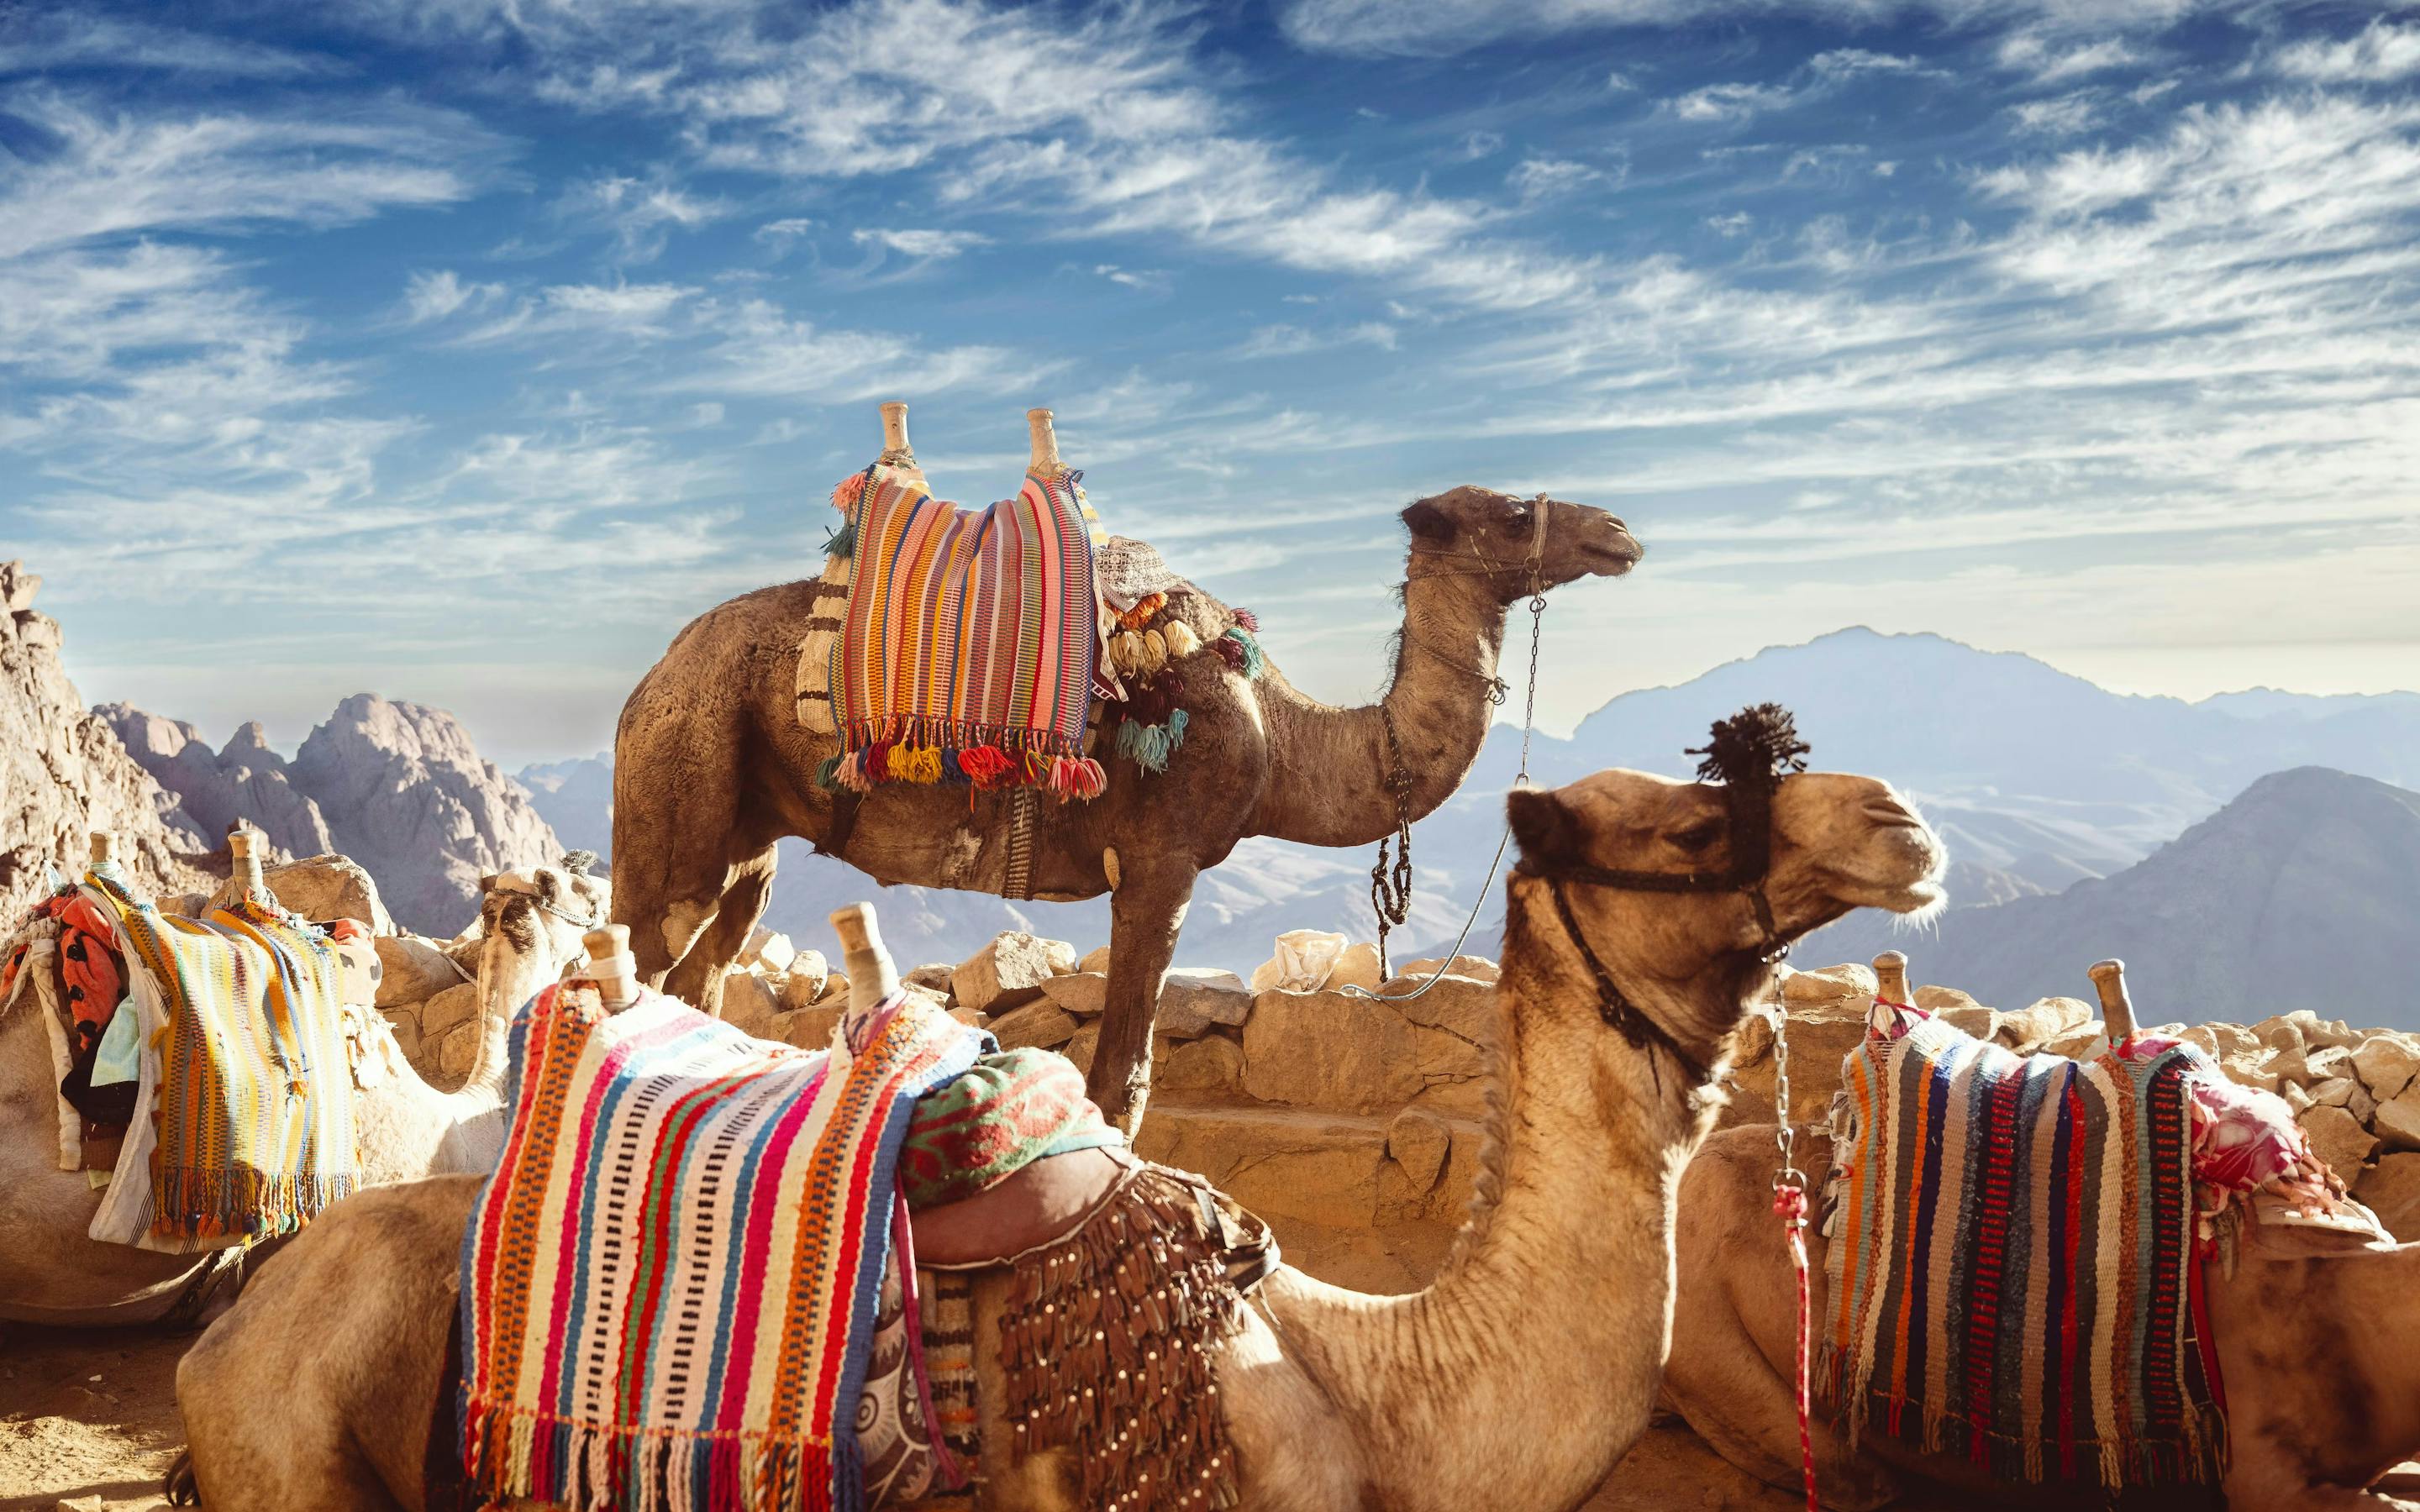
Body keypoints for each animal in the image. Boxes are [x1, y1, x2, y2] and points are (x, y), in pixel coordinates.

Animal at [610, 403, 1645, 1131]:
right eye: (1511, 513)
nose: (1619, 531)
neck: (1281, 735)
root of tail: (647, 683)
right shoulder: (1163, 861)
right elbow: (1122, 1081)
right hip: (679, 780)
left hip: (747, 836)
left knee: (704, 975)